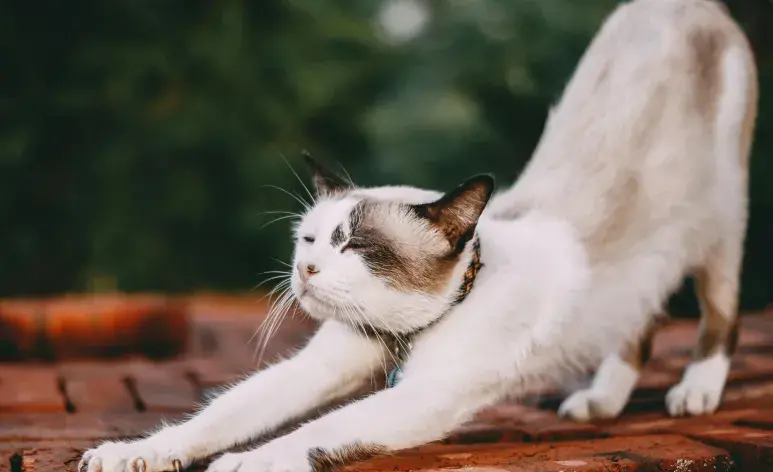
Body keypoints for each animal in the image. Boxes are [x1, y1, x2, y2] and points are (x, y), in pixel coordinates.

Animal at [77, 0, 752, 470]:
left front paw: (245, 463)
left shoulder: (428, 396)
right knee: (639, 318)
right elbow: (216, 416)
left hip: (717, 226)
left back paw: (694, 391)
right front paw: (131, 453)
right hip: (655, 263)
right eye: (309, 242)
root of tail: (680, 6)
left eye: (354, 244)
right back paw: (601, 402)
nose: (305, 273)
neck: (402, 334)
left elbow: (313, 431)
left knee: (718, 315)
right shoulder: (319, 367)